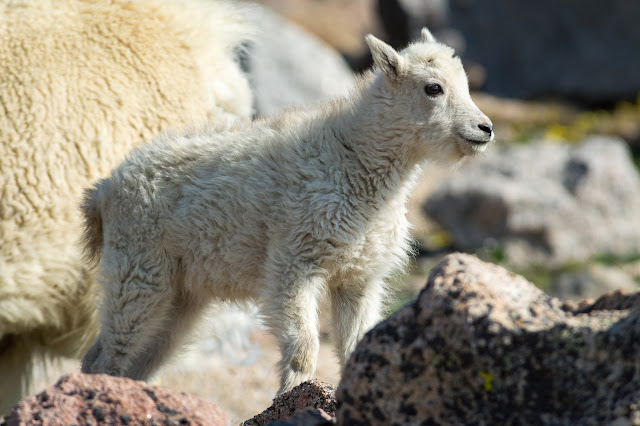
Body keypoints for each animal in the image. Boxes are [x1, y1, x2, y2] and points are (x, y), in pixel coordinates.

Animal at [81, 29, 496, 392]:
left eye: (466, 84)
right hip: (140, 268)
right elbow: (304, 345)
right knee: (107, 354)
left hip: (182, 293)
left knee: (140, 357)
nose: (484, 129)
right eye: (433, 87)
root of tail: (104, 190)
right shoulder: (294, 262)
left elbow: (355, 344)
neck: (355, 164)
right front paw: (291, 393)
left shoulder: (357, 277)